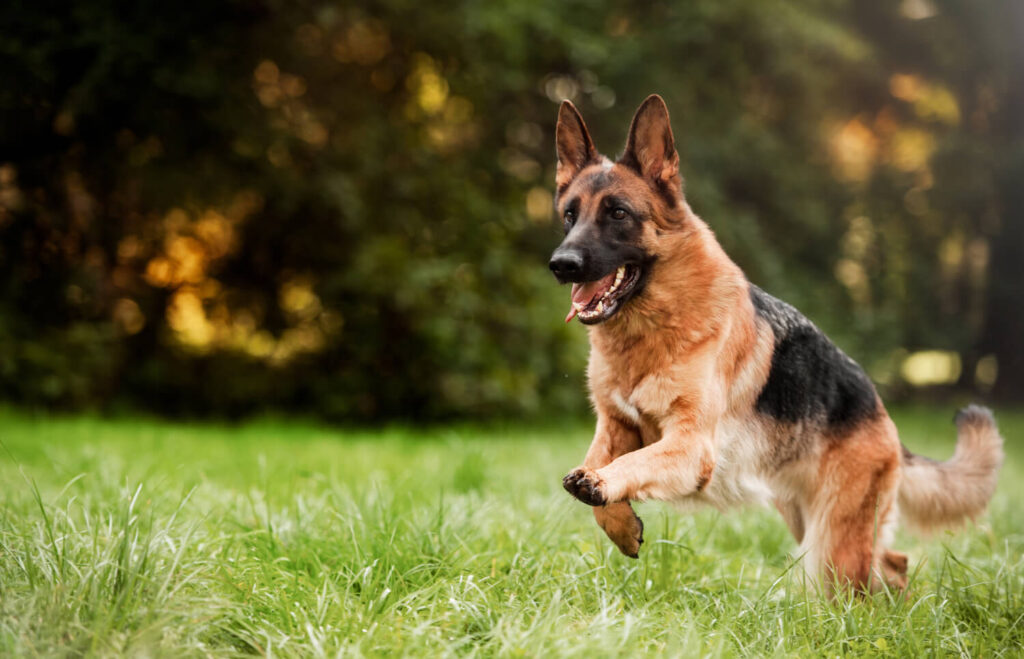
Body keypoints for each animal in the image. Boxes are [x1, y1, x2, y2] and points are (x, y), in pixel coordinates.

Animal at [548, 92, 1003, 593]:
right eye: (570, 215)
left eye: (618, 213)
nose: (561, 264)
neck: (651, 331)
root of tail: (882, 413)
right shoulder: (615, 427)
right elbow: (596, 469)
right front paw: (620, 522)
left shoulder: (690, 446)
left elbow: (629, 466)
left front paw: (604, 487)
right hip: (809, 520)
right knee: (893, 561)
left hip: (832, 541)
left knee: (863, 579)